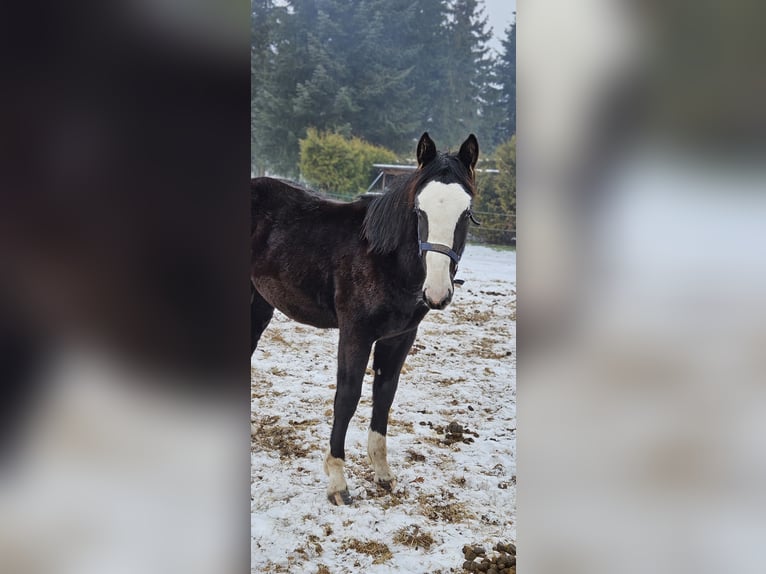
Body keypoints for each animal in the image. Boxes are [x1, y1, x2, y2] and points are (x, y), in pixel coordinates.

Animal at [251, 132, 479, 505]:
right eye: (419, 209)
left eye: (467, 211)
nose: (437, 292)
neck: (382, 256)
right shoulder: (355, 333)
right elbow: (348, 396)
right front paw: (338, 482)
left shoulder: (399, 337)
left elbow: (384, 394)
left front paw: (382, 473)